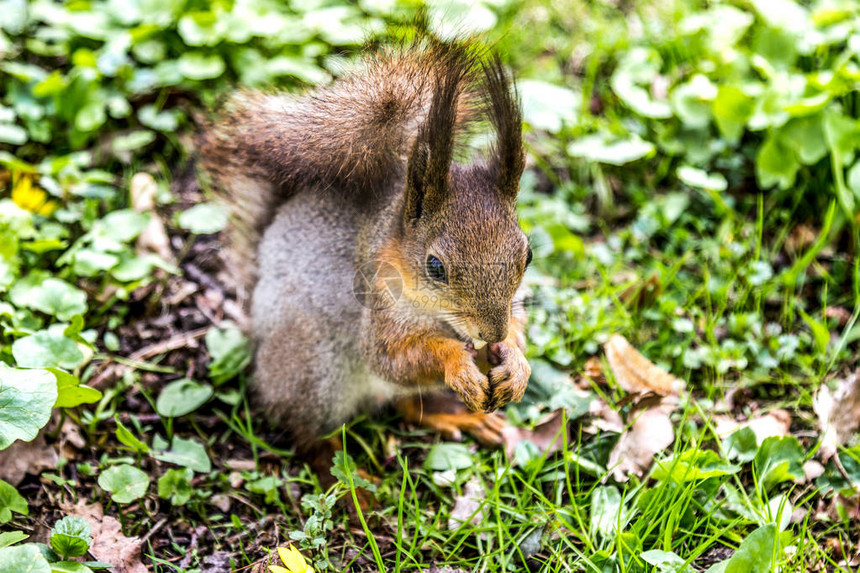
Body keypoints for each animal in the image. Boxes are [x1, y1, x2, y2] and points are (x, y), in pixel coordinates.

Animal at [197, 40, 532, 452]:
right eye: (435, 266)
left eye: (527, 255)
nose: (492, 334)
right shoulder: (379, 309)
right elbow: (391, 359)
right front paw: (456, 361)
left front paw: (515, 360)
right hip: (315, 370)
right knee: (307, 430)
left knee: (407, 406)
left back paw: (458, 417)